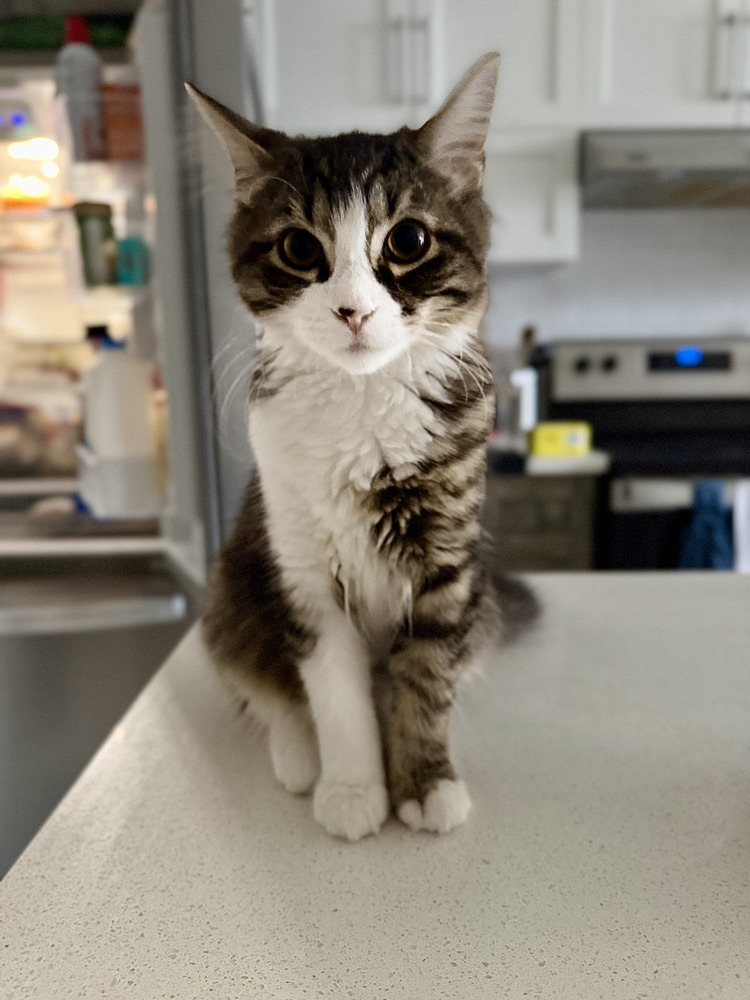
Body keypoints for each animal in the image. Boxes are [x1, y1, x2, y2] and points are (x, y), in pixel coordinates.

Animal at [189, 53, 538, 842]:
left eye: (407, 242)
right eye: (299, 248)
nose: (352, 309)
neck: (361, 406)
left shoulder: (448, 568)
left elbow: (425, 680)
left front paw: (425, 780)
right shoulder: (304, 571)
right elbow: (336, 698)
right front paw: (353, 790)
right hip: (231, 595)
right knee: (266, 689)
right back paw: (297, 756)